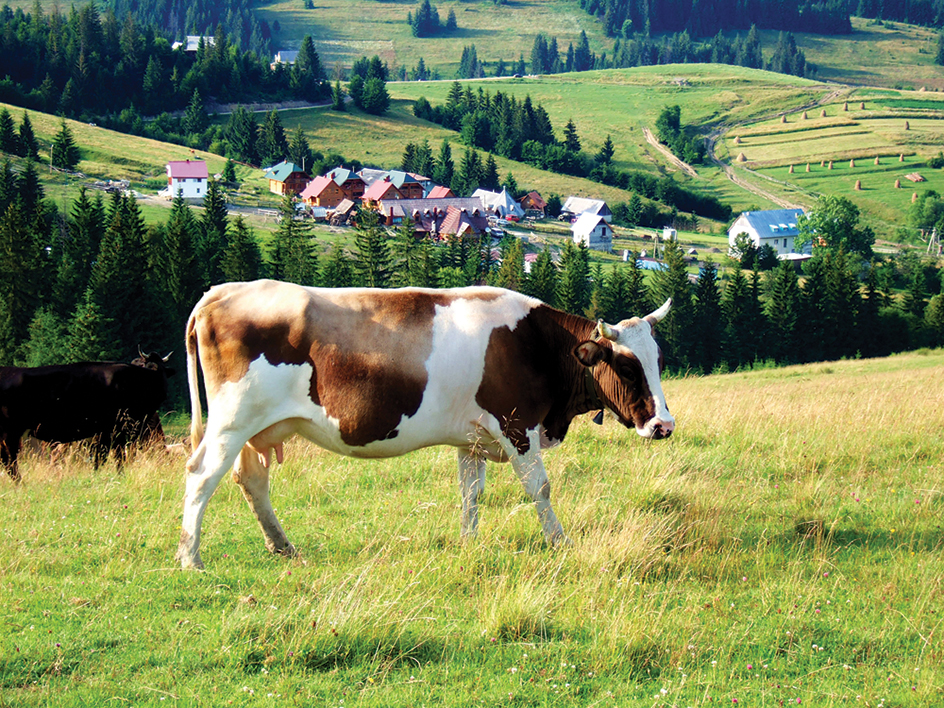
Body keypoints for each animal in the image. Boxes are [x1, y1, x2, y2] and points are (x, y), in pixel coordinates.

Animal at [177, 280, 676, 568]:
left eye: (658, 359)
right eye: (627, 368)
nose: (664, 426)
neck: (535, 345)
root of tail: (216, 293)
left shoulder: (472, 439)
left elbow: (472, 492)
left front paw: (469, 542)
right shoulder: (517, 428)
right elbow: (541, 489)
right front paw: (559, 541)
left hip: (253, 428)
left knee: (250, 479)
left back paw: (282, 546)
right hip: (231, 421)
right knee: (201, 476)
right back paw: (190, 558)